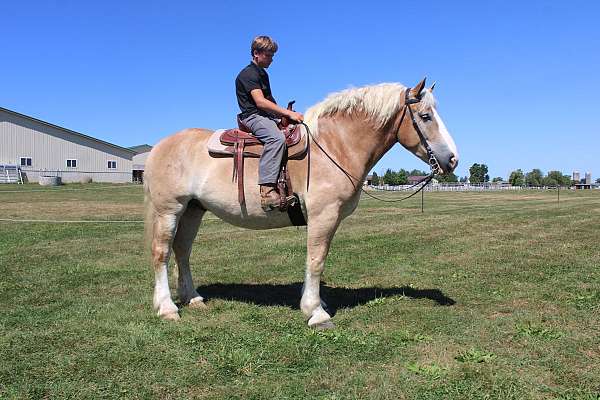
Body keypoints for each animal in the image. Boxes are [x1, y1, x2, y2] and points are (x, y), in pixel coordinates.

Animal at [144, 78, 460, 328]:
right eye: (426, 116)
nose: (453, 159)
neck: (334, 145)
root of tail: (160, 146)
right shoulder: (323, 215)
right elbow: (316, 260)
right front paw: (315, 312)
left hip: (193, 210)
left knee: (183, 252)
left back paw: (193, 298)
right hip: (169, 210)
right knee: (162, 253)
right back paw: (167, 308)